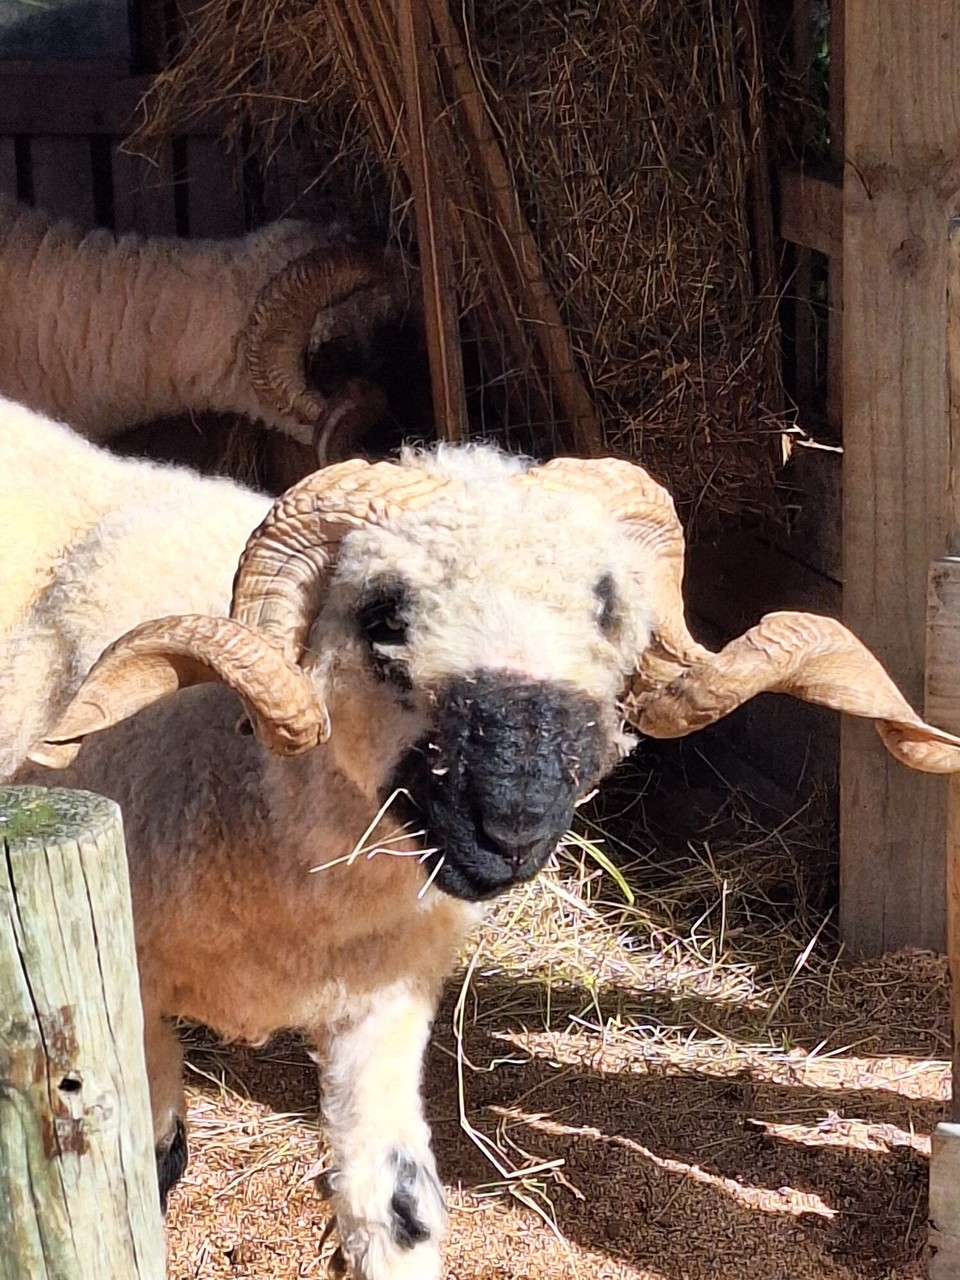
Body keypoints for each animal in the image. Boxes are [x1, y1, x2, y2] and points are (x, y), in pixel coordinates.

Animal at [6, 399, 960, 1280]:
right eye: (383, 616)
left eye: (607, 605)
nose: (512, 827)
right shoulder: (130, 1001)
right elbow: (147, 1170)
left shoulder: (381, 997)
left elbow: (393, 1205)